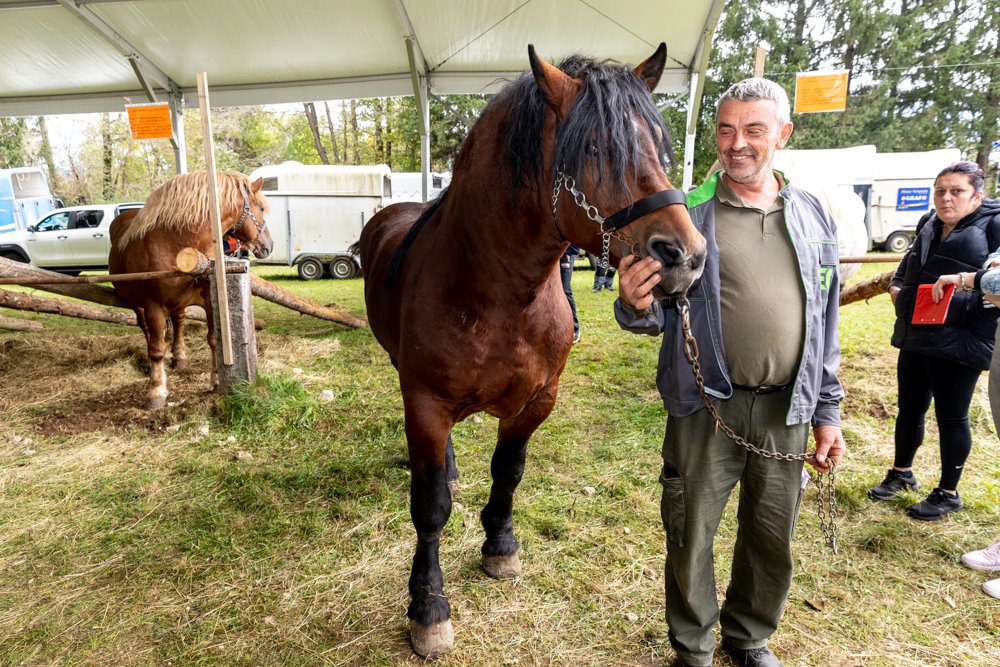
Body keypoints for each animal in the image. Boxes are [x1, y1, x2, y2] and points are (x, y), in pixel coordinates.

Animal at [108, 171, 274, 412]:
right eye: (260, 208)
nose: (269, 245)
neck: (176, 243)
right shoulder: (153, 305)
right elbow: (156, 350)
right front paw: (156, 391)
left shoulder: (210, 300)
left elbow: (214, 340)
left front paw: (216, 380)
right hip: (137, 305)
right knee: (146, 330)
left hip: (178, 304)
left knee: (178, 322)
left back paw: (179, 357)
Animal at [360, 43, 704, 656]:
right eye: (594, 147)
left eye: (658, 144)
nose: (685, 257)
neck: (500, 297)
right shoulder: (425, 404)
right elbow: (430, 506)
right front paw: (428, 606)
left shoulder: (538, 400)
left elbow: (509, 471)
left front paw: (499, 545)